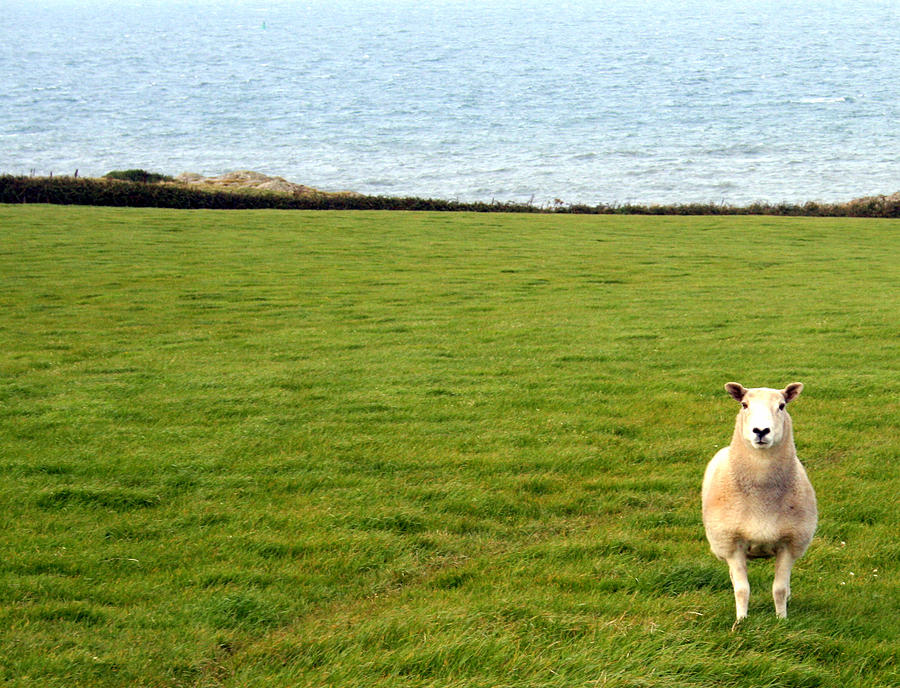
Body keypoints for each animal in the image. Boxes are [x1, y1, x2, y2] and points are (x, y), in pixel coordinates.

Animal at [702, 382, 817, 629]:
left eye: (782, 406)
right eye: (744, 405)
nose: (761, 431)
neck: (762, 498)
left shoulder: (789, 543)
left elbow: (779, 589)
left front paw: (781, 620)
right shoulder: (732, 544)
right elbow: (742, 589)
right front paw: (741, 621)